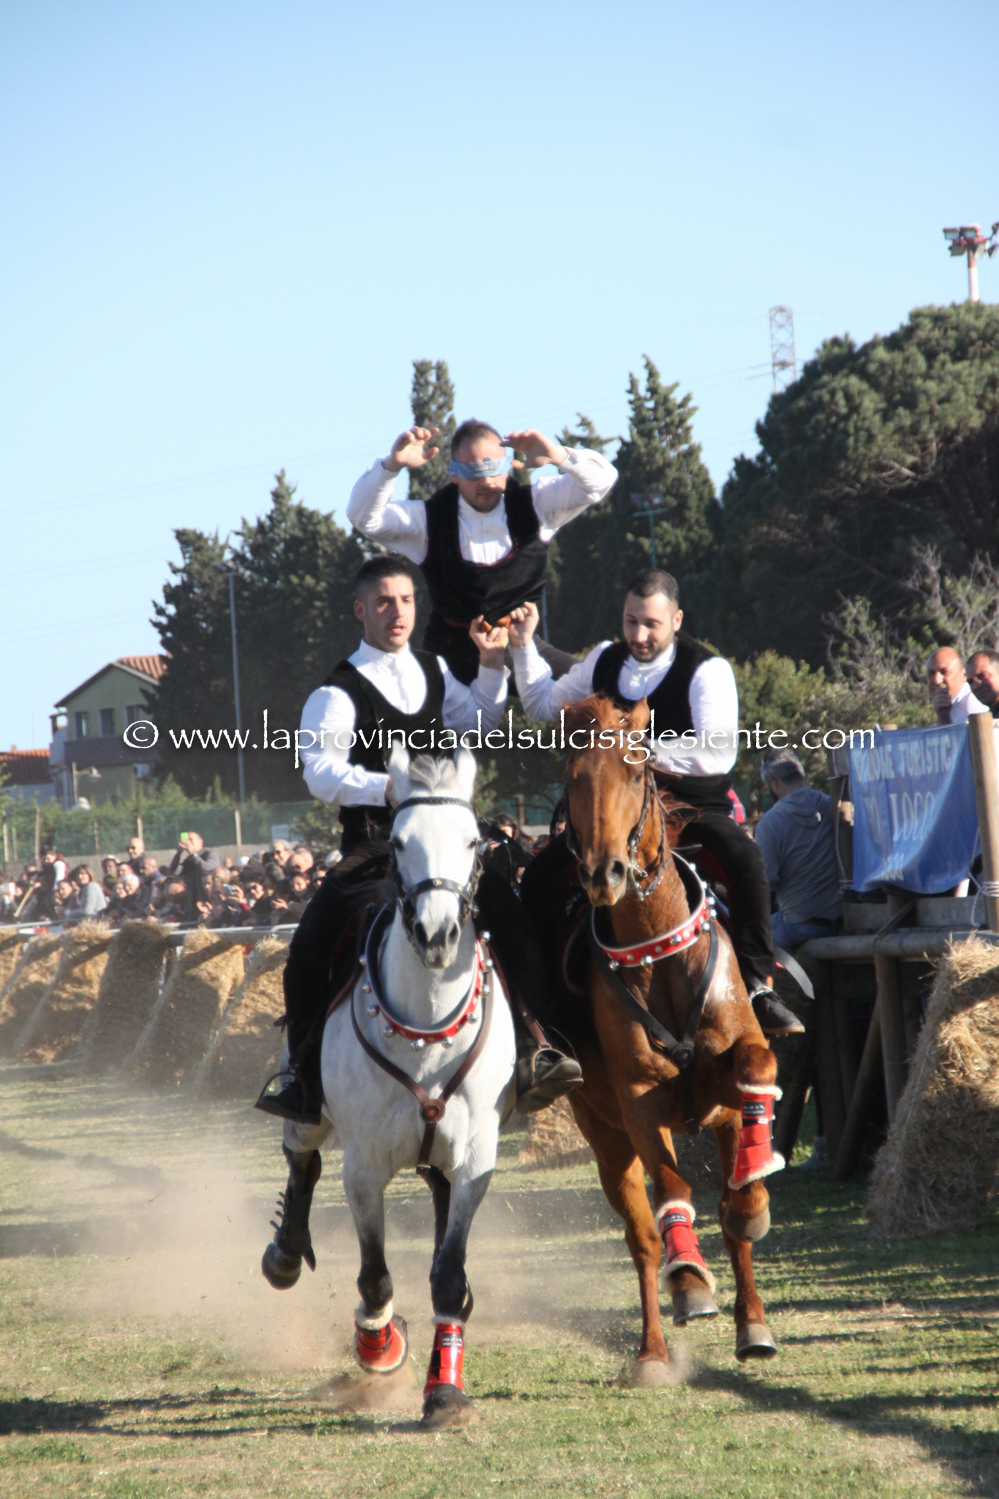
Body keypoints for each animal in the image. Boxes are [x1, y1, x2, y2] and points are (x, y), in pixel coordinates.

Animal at [265, 746, 516, 1427]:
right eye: (400, 841)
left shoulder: (474, 1158)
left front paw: (445, 1391)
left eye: (473, 840)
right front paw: (379, 1345)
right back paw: (286, 1254)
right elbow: (374, 1276)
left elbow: (449, 1277)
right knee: (301, 1157)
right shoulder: (365, 1168)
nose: (437, 935)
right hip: (308, 1110)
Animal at [529, 694, 783, 1377]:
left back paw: (754, 1323)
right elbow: (671, 1188)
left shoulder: (729, 1079)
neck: (657, 952)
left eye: (637, 771)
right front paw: (689, 1278)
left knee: (729, 1216)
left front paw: (754, 1201)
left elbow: (757, 1066)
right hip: (605, 1139)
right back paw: (653, 1349)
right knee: (642, 1239)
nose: (604, 873)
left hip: (719, 1119)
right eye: (572, 778)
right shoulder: (639, 1100)